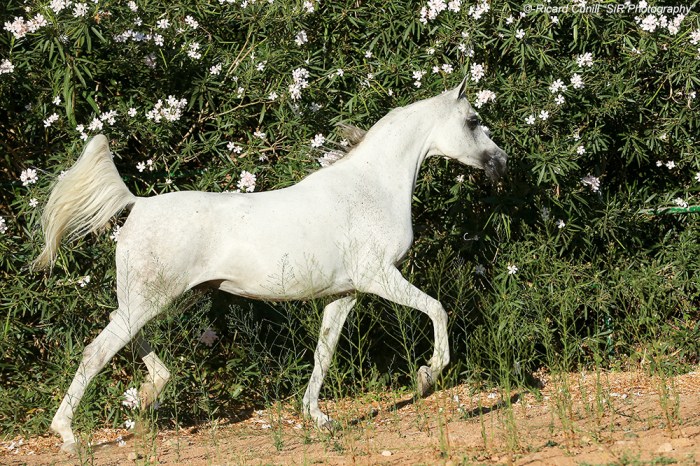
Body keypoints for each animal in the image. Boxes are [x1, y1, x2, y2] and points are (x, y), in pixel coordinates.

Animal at [35, 77, 507, 454]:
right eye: (472, 121)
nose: (501, 162)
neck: (370, 188)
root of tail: (138, 205)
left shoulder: (345, 293)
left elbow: (324, 352)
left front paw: (318, 417)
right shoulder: (379, 277)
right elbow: (437, 310)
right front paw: (428, 375)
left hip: (146, 300)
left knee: (126, 341)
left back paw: (152, 393)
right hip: (149, 299)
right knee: (97, 352)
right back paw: (69, 436)